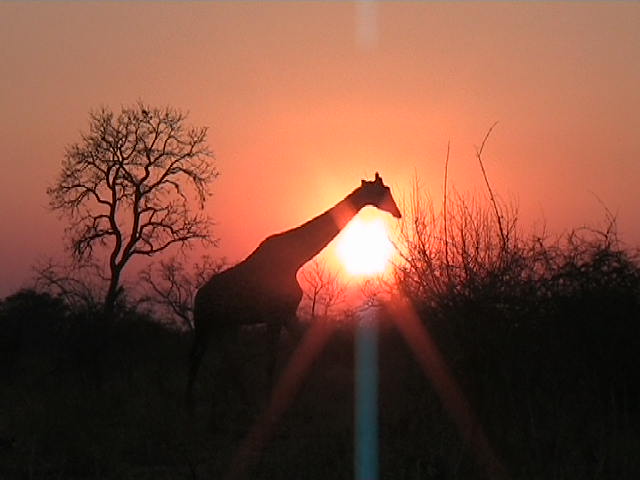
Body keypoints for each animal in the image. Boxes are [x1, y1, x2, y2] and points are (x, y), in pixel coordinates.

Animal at [186, 173, 401, 418]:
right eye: (384, 190)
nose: (398, 212)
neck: (296, 260)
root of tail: (198, 296)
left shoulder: (288, 314)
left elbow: (302, 351)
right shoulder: (273, 316)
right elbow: (271, 360)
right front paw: (269, 405)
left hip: (227, 326)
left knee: (226, 358)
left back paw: (232, 402)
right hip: (205, 324)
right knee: (197, 358)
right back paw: (192, 408)